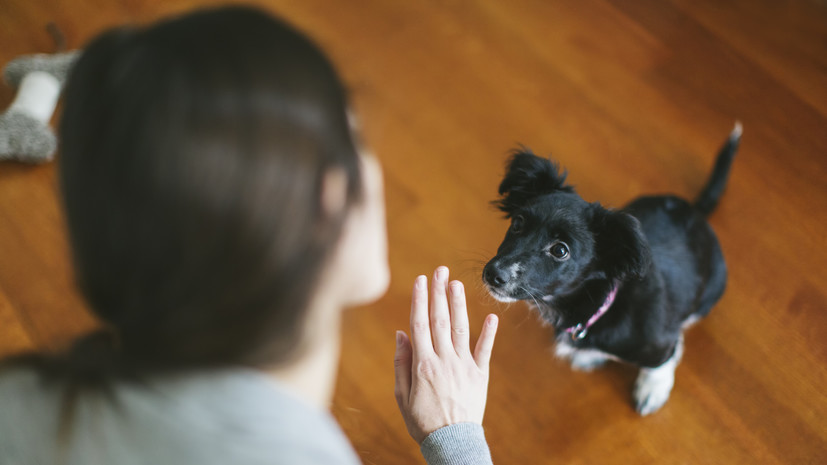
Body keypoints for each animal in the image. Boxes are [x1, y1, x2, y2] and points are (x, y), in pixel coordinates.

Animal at [482, 123, 740, 414]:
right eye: (517, 223)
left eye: (560, 250)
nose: (493, 274)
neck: (597, 306)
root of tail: (695, 211)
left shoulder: (659, 340)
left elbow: (661, 361)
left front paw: (653, 388)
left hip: (712, 290)